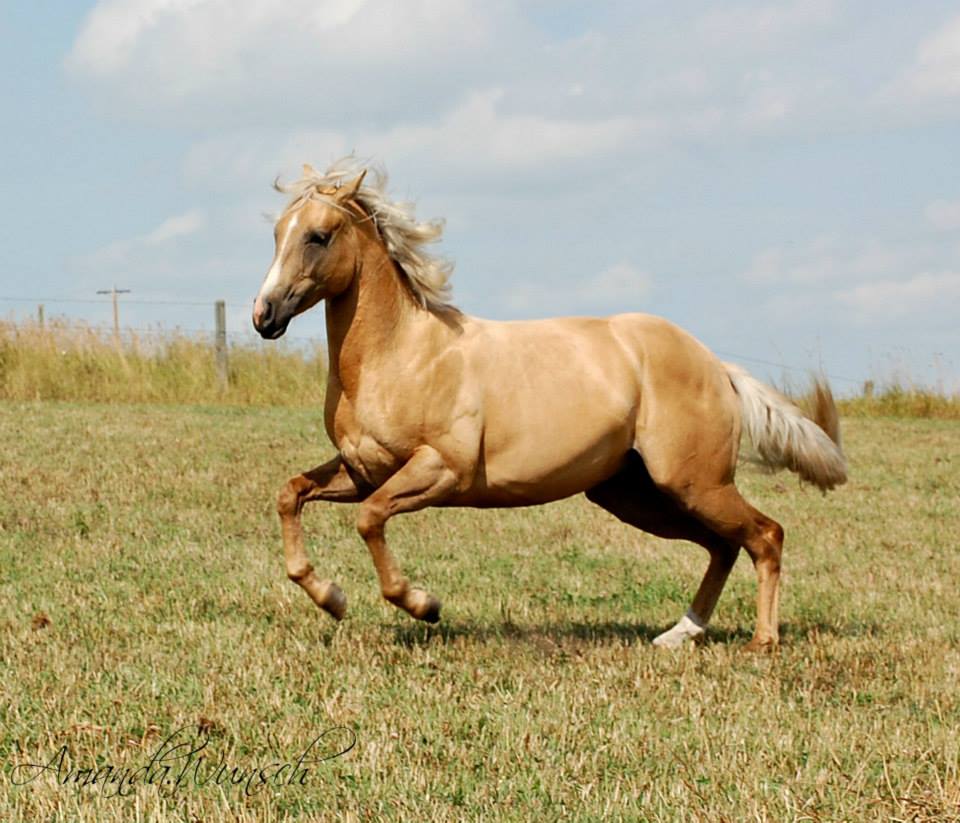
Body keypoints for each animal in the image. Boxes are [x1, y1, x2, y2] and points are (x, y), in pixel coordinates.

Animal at [252, 159, 847, 651]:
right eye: (278, 234)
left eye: (318, 236)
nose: (264, 315)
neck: (403, 353)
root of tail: (716, 366)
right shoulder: (362, 471)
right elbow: (290, 495)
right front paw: (331, 597)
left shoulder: (440, 470)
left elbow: (370, 519)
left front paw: (423, 605)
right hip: (636, 493)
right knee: (722, 546)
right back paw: (680, 634)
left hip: (693, 482)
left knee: (764, 536)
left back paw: (762, 642)